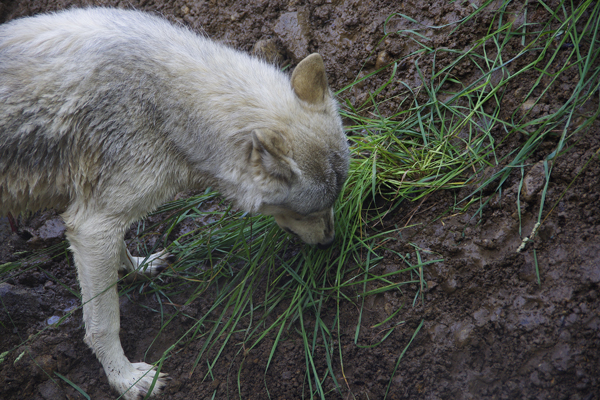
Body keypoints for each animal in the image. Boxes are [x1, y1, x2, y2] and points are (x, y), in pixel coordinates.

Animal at [0, 7, 350, 400]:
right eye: (308, 212)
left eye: (332, 202)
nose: (330, 242)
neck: (164, 103)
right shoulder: (90, 226)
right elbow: (104, 323)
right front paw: (126, 379)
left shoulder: (101, 217)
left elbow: (120, 252)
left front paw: (137, 267)